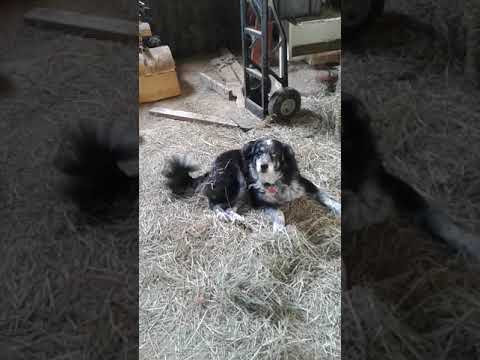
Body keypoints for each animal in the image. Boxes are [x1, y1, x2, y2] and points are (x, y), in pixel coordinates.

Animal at [163, 138, 340, 231]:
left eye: (274, 154)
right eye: (258, 153)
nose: (263, 165)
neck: (275, 182)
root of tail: (211, 171)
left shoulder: (303, 183)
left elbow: (323, 194)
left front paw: (337, 206)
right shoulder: (259, 202)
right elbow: (279, 213)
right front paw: (279, 229)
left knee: (229, 207)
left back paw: (237, 219)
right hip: (237, 181)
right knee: (216, 204)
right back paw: (227, 216)